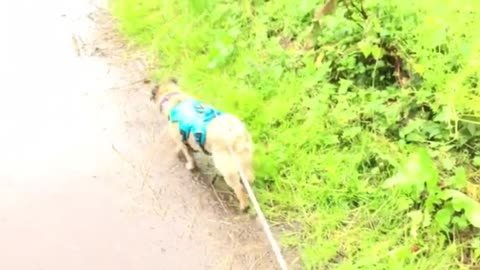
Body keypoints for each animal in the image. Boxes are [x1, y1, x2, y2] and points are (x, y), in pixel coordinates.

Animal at [150, 78, 255, 211]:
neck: (174, 96)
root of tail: (236, 134)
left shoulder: (180, 140)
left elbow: (187, 154)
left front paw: (189, 164)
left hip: (227, 168)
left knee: (238, 188)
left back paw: (243, 205)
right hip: (245, 160)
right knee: (249, 177)